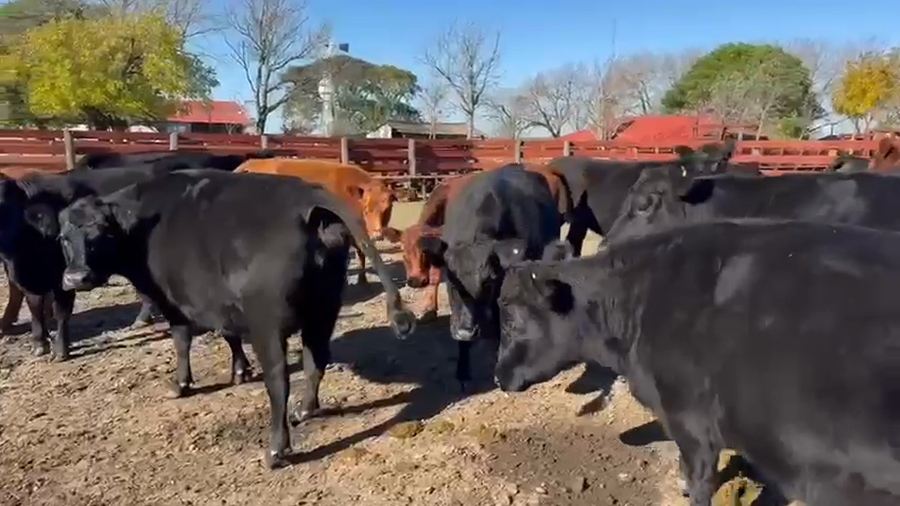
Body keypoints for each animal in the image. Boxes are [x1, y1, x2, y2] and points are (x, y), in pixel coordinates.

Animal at [0, 167, 165, 359]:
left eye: (3, 204)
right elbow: (35, 308)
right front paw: (40, 344)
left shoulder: (63, 279)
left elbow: (61, 312)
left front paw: (61, 349)